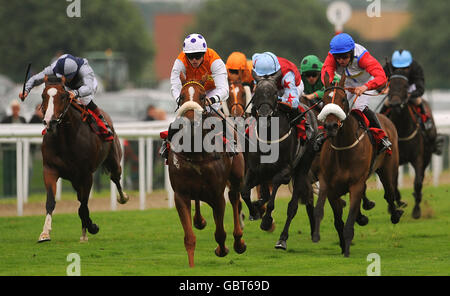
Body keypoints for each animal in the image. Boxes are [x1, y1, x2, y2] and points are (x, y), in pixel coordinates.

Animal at [36, 75, 128, 243]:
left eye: (63, 96)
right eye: (43, 95)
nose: (50, 122)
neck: (65, 140)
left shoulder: (86, 174)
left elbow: (83, 206)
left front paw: (90, 229)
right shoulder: (50, 169)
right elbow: (51, 201)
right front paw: (45, 233)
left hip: (113, 160)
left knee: (115, 178)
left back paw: (123, 198)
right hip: (74, 179)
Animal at [168, 73, 246, 268]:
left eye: (203, 97)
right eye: (181, 97)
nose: (189, 122)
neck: (195, 152)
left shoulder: (218, 195)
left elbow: (220, 232)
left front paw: (223, 249)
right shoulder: (180, 195)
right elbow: (189, 237)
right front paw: (191, 266)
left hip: (236, 177)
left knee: (235, 198)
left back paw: (239, 241)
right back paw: (200, 220)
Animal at [241, 74, 318, 250]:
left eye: (275, 92)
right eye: (256, 92)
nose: (264, 116)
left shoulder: (285, 172)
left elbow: (272, 198)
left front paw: (266, 221)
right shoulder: (254, 170)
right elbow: (245, 193)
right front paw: (255, 211)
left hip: (302, 168)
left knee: (292, 207)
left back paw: (282, 239)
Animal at [312, 72, 404, 256]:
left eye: (342, 99)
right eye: (324, 100)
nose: (331, 126)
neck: (343, 149)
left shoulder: (356, 184)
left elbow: (349, 221)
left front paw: (347, 248)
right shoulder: (329, 186)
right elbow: (336, 220)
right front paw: (340, 245)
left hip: (387, 168)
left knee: (389, 193)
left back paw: (395, 214)